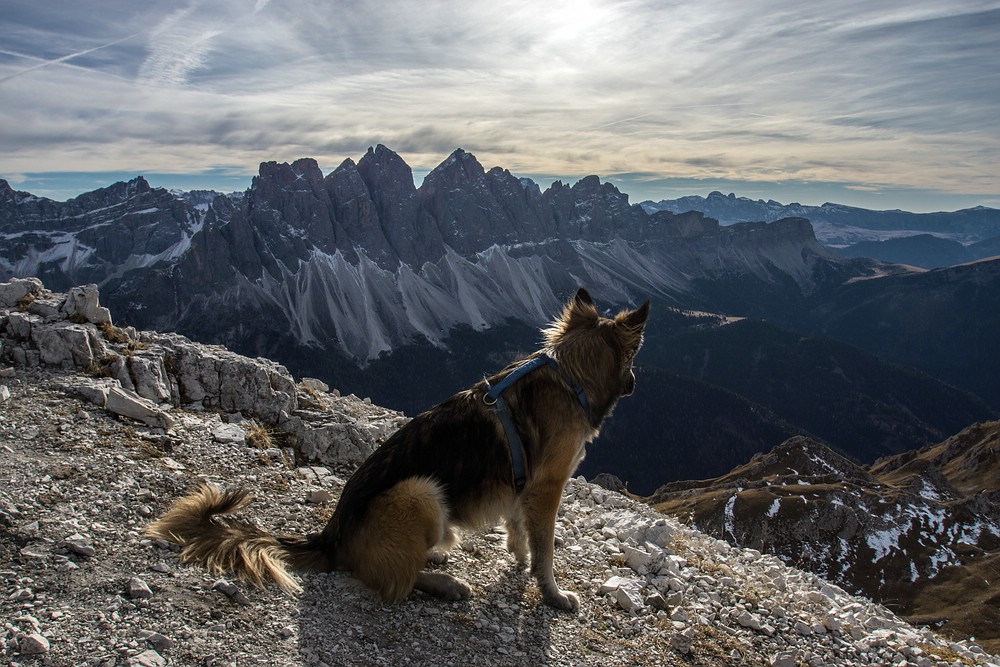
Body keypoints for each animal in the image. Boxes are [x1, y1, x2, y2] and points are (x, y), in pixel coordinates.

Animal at [146, 288, 648, 612]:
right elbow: (545, 548)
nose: (635, 383)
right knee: (397, 582)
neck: (570, 376)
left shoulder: (523, 485)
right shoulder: (548, 486)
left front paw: (519, 560)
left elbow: (520, 530)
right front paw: (552, 593)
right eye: (634, 359)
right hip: (419, 492)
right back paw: (444, 582)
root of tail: (330, 536)